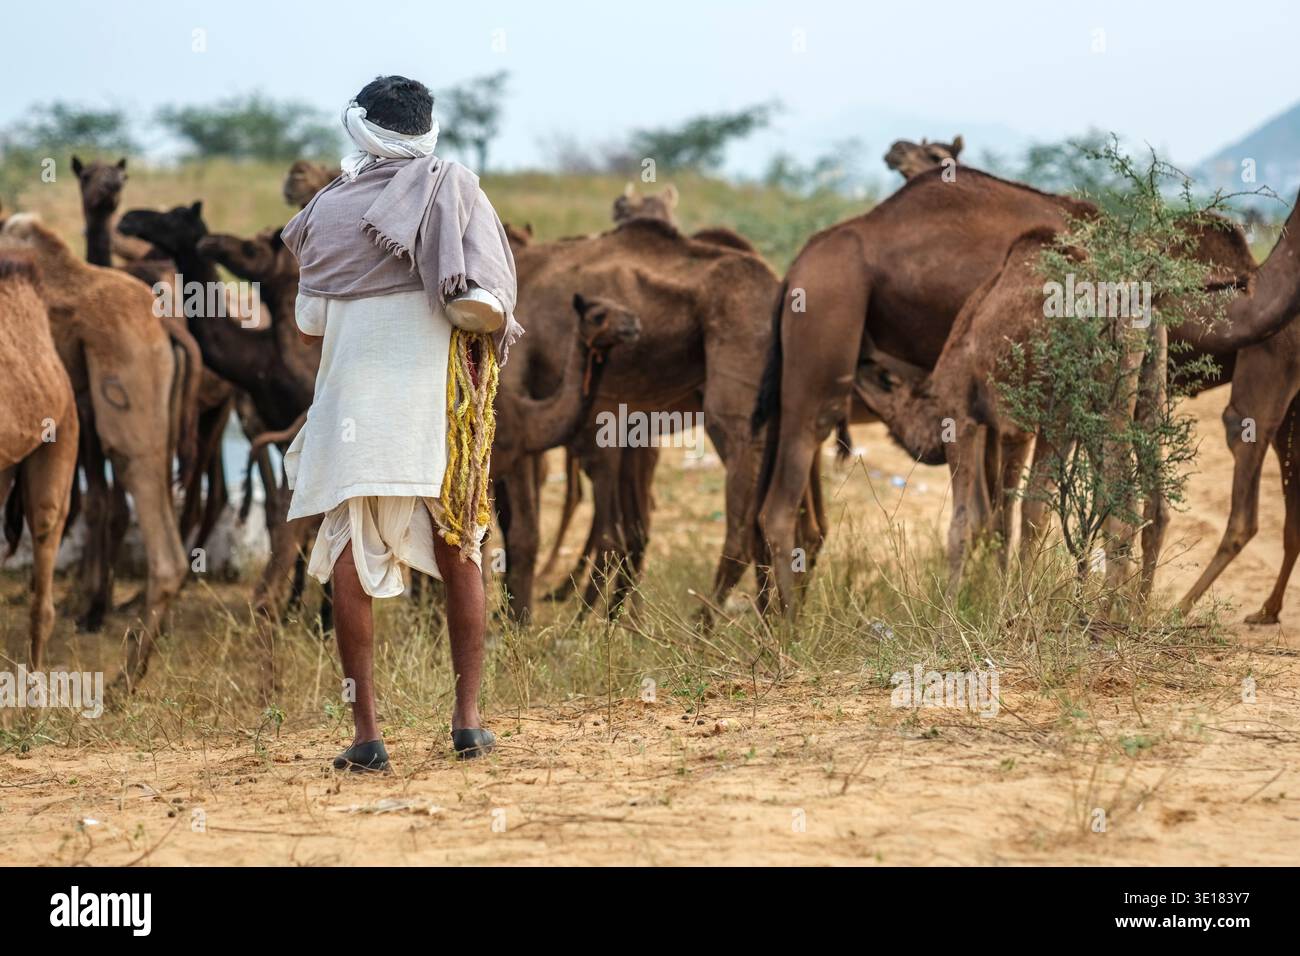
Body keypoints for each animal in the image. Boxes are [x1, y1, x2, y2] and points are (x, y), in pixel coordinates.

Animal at [753, 166, 1274, 615]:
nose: (861, 365)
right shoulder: (1019, 425)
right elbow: (1011, 516)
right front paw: (1004, 599)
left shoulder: (969, 418)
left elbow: (972, 521)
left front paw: (957, 610)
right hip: (1145, 392)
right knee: (1152, 504)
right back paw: (1132, 610)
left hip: (1096, 402)